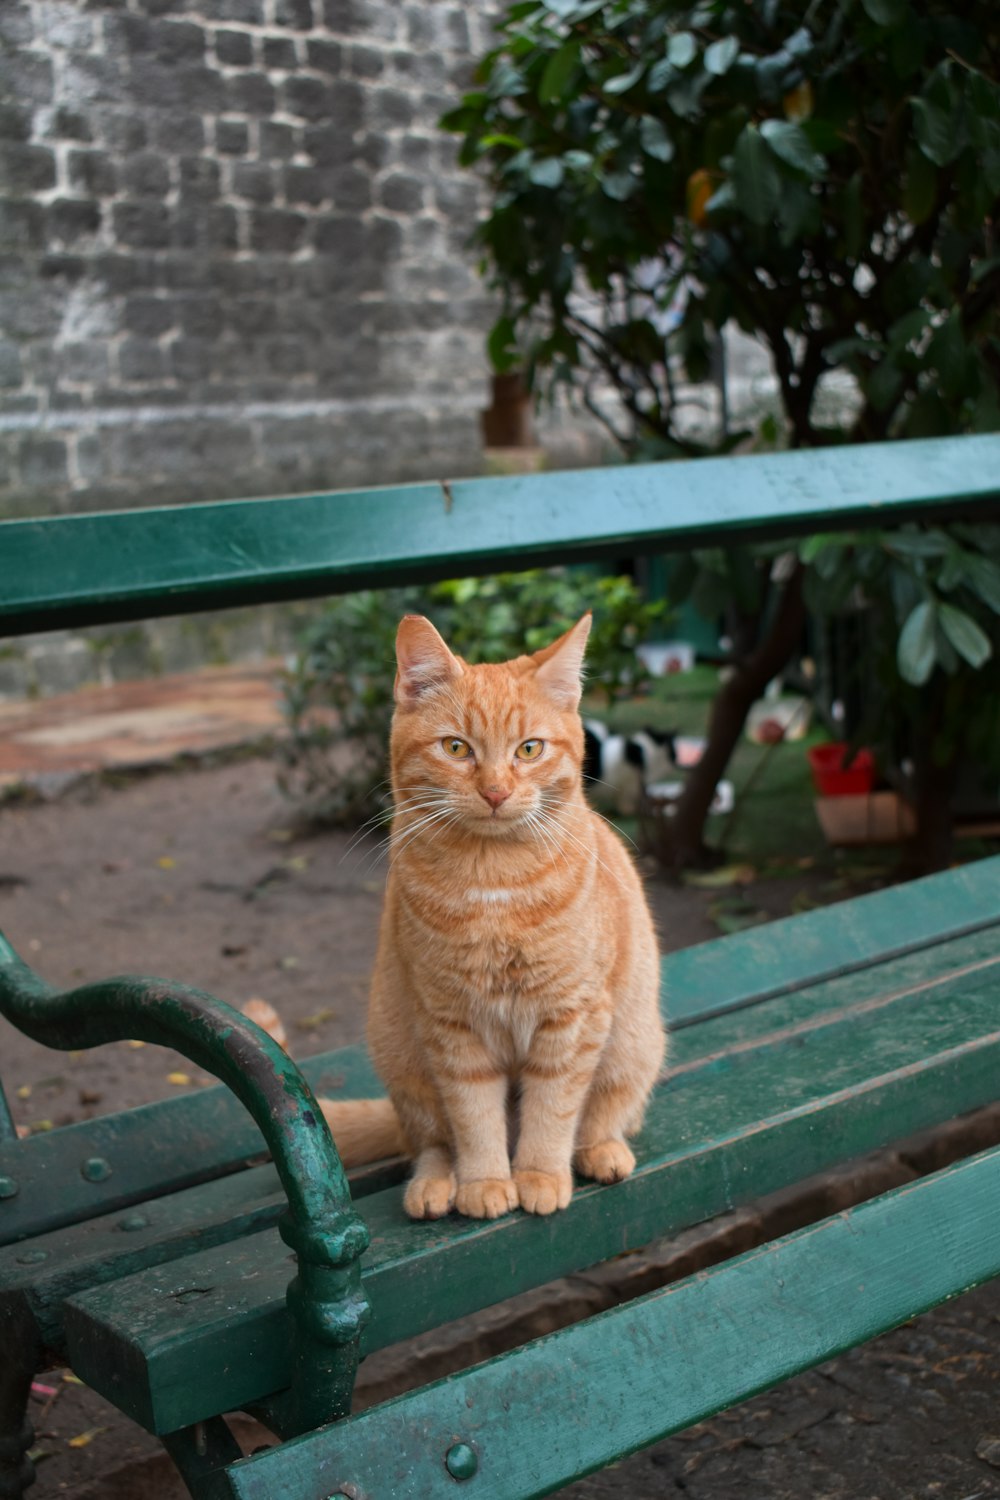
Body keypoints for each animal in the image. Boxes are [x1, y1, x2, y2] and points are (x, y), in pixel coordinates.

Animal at [320, 612, 665, 1218]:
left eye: (529, 749)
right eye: (456, 747)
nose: (496, 791)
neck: (493, 882)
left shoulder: (571, 1016)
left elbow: (553, 1107)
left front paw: (539, 1174)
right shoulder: (452, 1026)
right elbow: (474, 1117)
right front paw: (483, 1182)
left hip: (632, 1046)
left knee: (604, 1115)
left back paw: (601, 1151)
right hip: (404, 1062)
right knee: (431, 1142)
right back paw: (435, 1186)